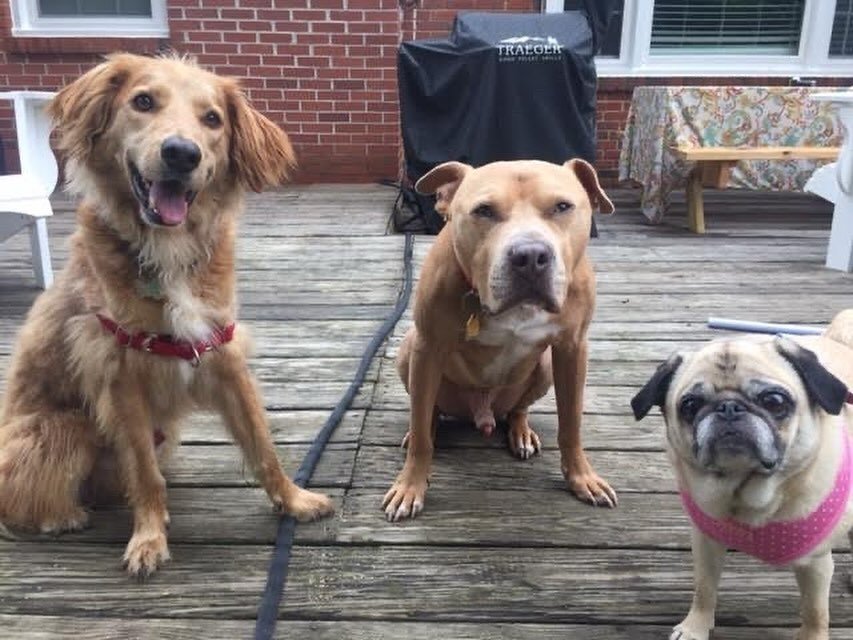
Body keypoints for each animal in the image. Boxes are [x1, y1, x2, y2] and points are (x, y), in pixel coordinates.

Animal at [0, 52, 332, 576]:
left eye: (212, 119)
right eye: (142, 101)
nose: (181, 153)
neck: (168, 253)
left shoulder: (222, 352)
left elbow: (262, 444)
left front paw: (294, 500)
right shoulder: (120, 377)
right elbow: (144, 471)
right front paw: (148, 538)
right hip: (62, 428)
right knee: (22, 497)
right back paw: (64, 517)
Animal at [382, 159, 616, 520]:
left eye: (562, 207)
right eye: (484, 211)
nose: (530, 256)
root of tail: (482, 413)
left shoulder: (573, 348)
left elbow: (571, 423)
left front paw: (582, 478)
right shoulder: (428, 346)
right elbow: (422, 436)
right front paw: (410, 486)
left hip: (544, 368)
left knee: (518, 408)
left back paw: (521, 432)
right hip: (410, 352)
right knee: (426, 411)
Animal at [628, 308, 848, 636]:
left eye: (774, 401)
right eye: (689, 405)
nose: (729, 408)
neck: (745, 494)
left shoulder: (815, 564)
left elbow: (814, 612)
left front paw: (812, 637)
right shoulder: (705, 542)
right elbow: (704, 589)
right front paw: (695, 627)